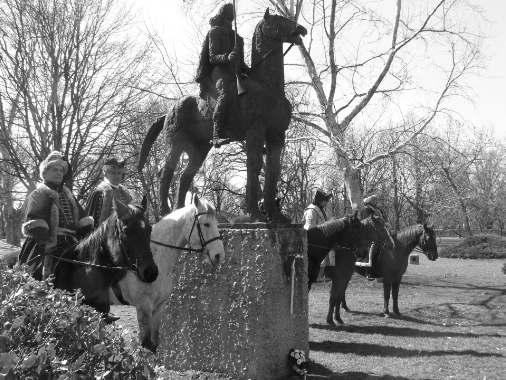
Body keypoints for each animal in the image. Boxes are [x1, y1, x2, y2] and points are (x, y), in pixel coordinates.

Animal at [110, 194, 225, 352]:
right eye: (206, 224)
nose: (219, 255)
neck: (156, 258)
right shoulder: (143, 306)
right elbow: (146, 345)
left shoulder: (159, 307)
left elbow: (155, 342)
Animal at [136, 10, 306, 221]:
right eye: (279, 20)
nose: (302, 29)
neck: (267, 86)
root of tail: (168, 112)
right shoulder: (255, 132)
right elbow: (254, 165)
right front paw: (254, 213)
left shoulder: (276, 136)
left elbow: (274, 170)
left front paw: (274, 215)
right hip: (176, 144)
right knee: (166, 172)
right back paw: (165, 212)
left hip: (199, 149)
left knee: (185, 176)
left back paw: (180, 212)